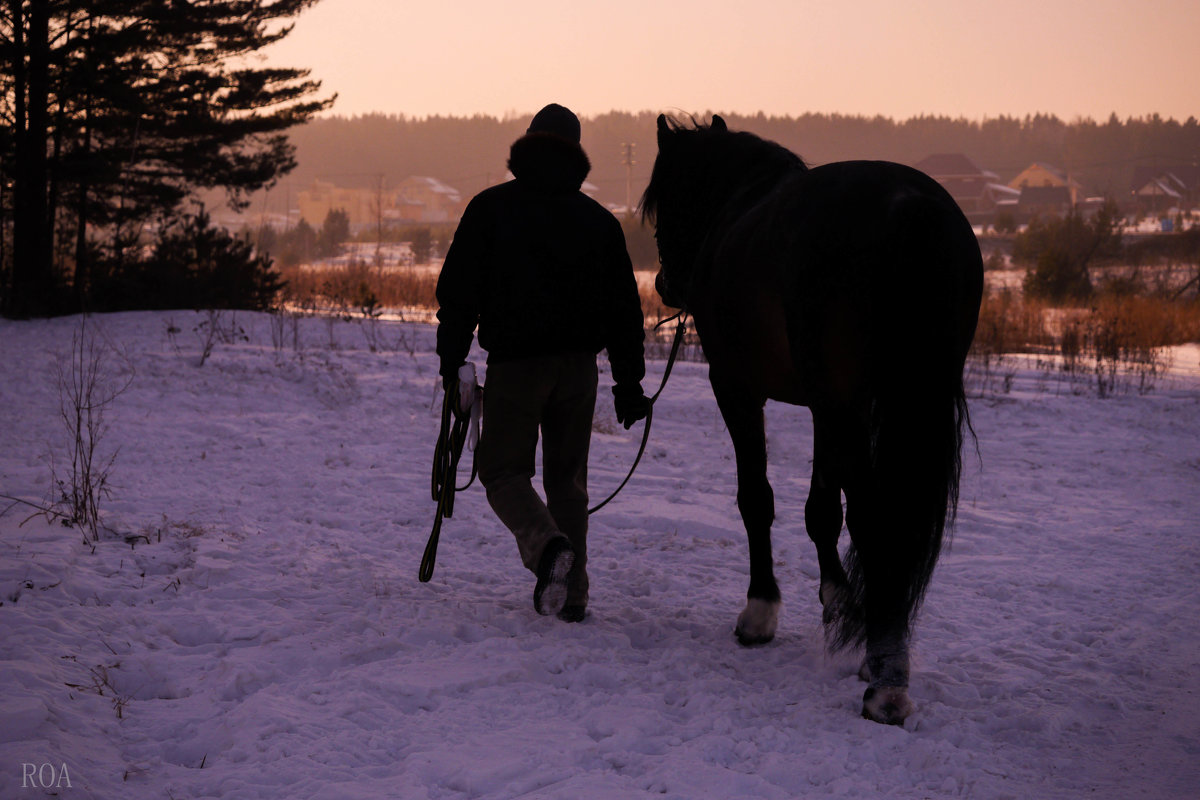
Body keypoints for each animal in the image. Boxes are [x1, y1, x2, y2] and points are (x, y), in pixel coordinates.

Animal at [643, 113, 979, 724]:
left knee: (874, 517)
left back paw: (887, 684)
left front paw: (759, 613)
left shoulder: (738, 389)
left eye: (664, 200)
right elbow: (822, 509)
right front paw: (840, 602)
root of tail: (910, 207)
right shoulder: (832, 404)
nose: (667, 284)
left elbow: (758, 498)